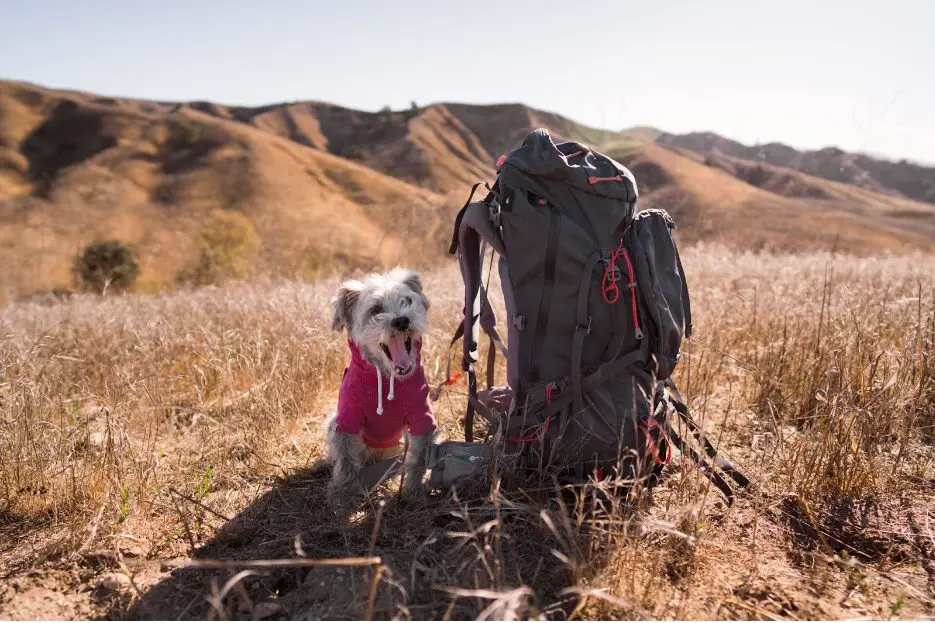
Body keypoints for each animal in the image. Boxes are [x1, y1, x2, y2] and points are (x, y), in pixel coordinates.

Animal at [324, 266, 440, 510]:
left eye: (407, 300)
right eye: (376, 309)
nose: (402, 320)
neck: (387, 378)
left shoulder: (422, 417)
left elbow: (418, 459)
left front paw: (414, 492)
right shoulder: (346, 419)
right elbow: (346, 462)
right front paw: (342, 496)